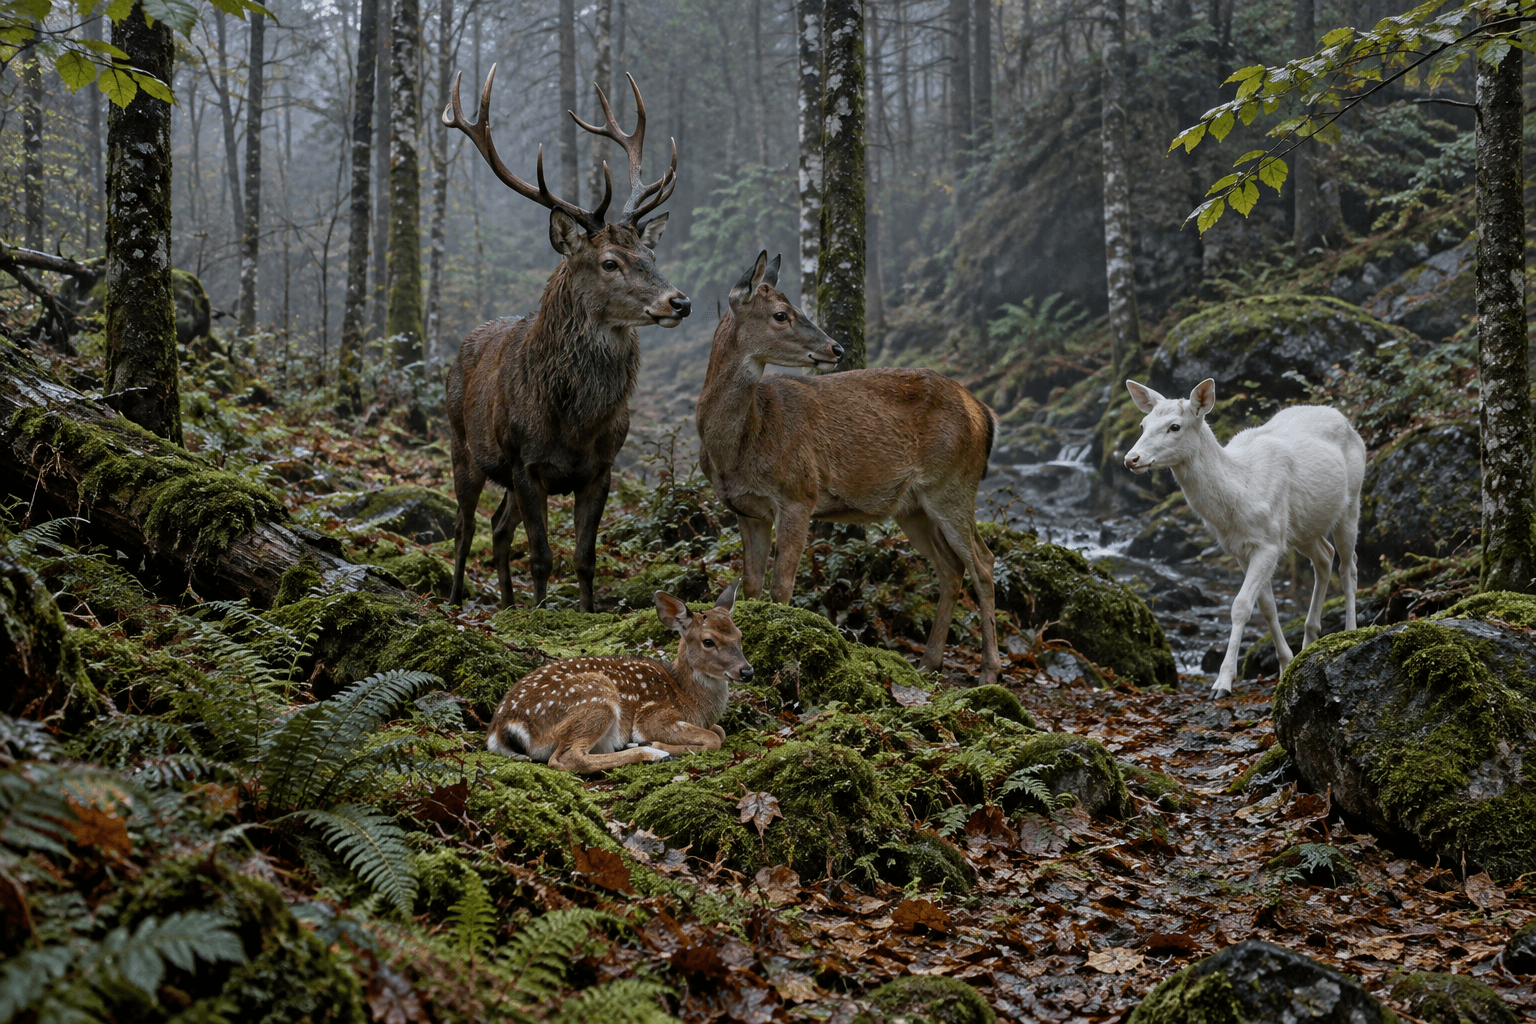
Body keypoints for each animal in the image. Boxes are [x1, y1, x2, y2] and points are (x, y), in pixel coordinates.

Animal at [442, 66, 689, 611]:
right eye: (609, 263)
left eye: (651, 256)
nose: (679, 302)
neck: (573, 423)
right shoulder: (523, 460)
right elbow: (541, 555)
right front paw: (540, 614)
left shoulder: (601, 467)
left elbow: (583, 558)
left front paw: (585, 611)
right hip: (462, 444)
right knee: (466, 527)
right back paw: (455, 598)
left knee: (498, 527)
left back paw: (507, 604)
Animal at [485, 583, 752, 772]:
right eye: (708, 641)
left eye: (740, 635)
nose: (747, 671)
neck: (691, 700)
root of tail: (501, 726)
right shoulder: (654, 715)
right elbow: (713, 738)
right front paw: (655, 744)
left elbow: (720, 731)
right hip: (595, 699)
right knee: (567, 758)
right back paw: (653, 753)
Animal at [696, 252, 1002, 685]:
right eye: (780, 314)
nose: (836, 348)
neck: (739, 446)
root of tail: (984, 413)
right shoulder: (747, 509)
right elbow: (751, 584)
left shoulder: (798, 493)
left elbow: (781, 585)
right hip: (913, 506)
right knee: (951, 567)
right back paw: (929, 662)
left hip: (954, 482)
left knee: (983, 562)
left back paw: (989, 671)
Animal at [1123, 378, 1366, 698]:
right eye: (1142, 424)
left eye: (1174, 426)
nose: (1131, 459)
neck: (1241, 491)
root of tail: (1348, 423)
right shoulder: (1240, 548)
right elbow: (1267, 608)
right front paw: (1285, 666)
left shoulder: (1269, 542)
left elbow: (1240, 606)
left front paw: (1222, 684)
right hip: (1302, 526)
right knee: (1325, 557)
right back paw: (1308, 642)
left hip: (1352, 500)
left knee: (1349, 565)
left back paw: (1350, 632)